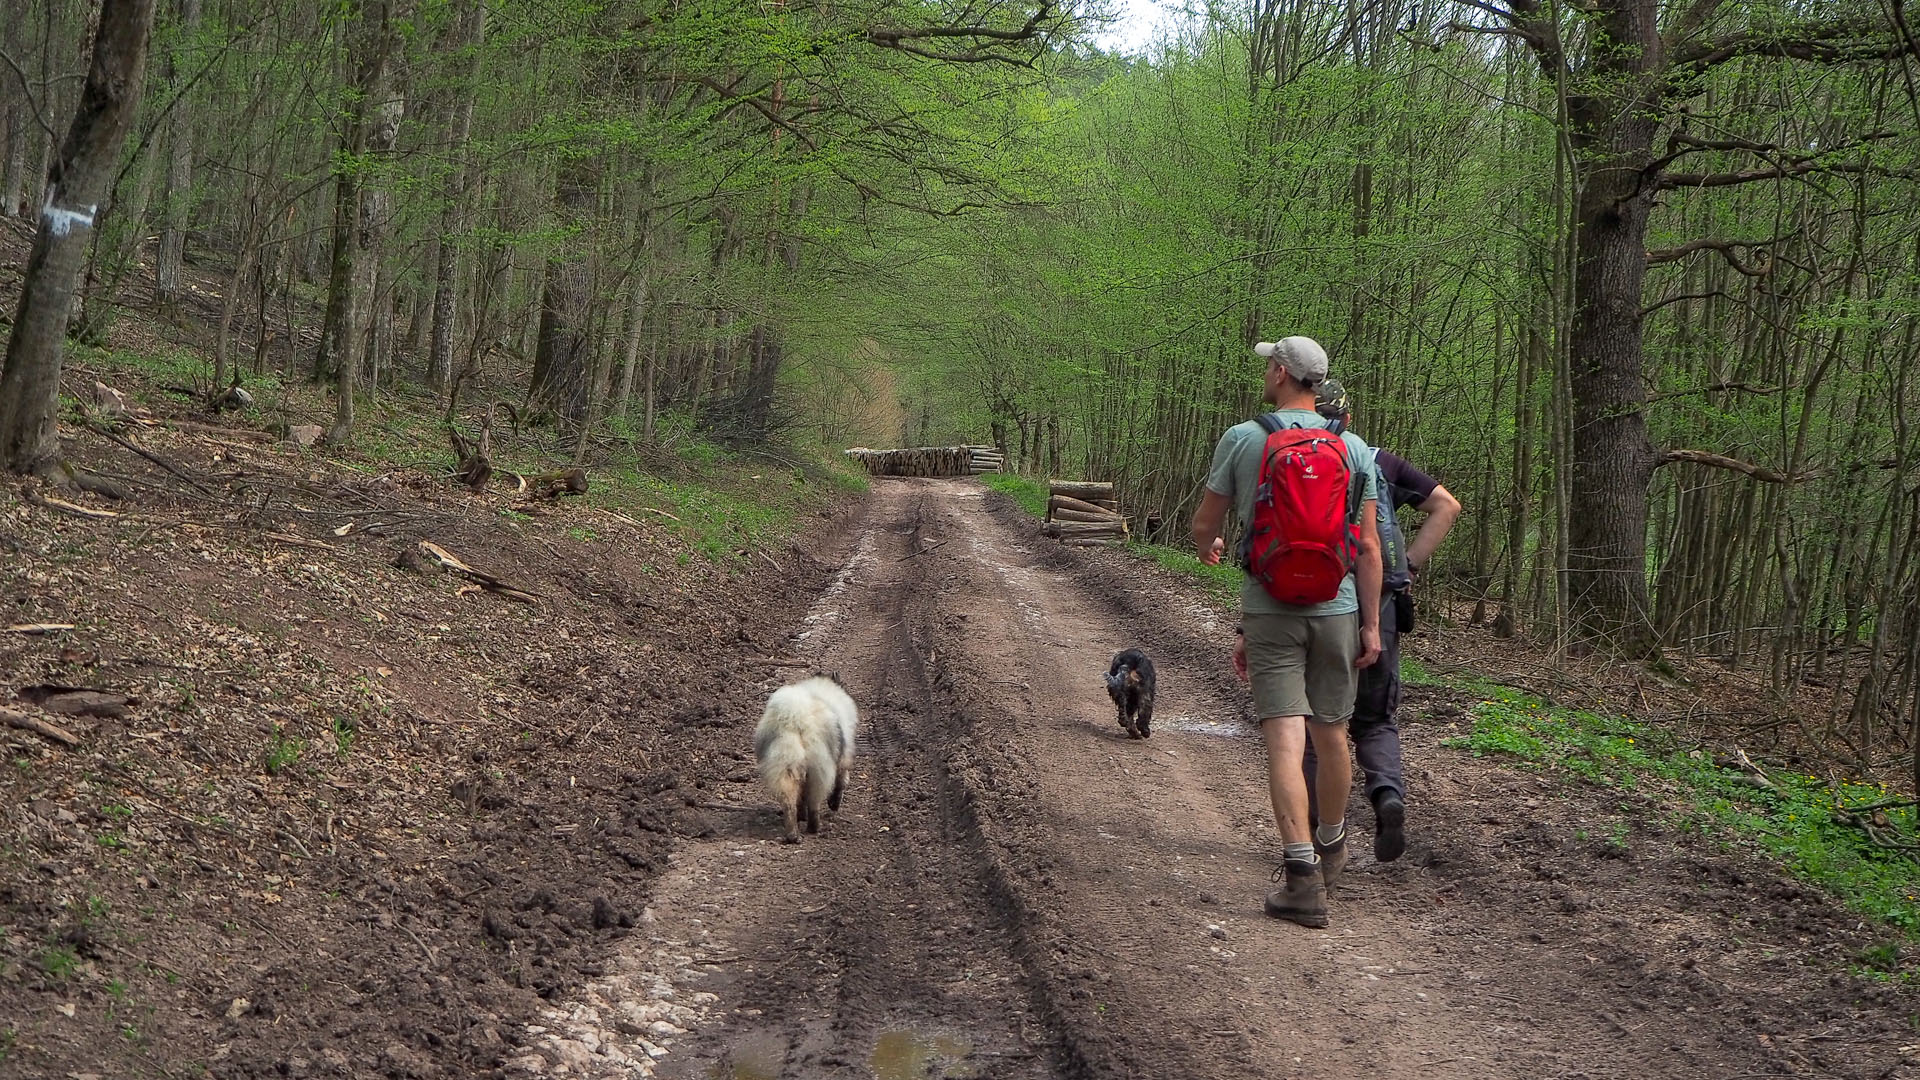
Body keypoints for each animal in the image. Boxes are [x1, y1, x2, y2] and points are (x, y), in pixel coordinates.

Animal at [752, 672, 860, 841]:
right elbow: (841, 782)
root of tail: (795, 719)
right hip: (819, 767)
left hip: (785, 765)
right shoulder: (844, 757)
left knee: (789, 801)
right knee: (814, 801)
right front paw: (834, 804)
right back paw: (813, 828)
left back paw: (793, 834)